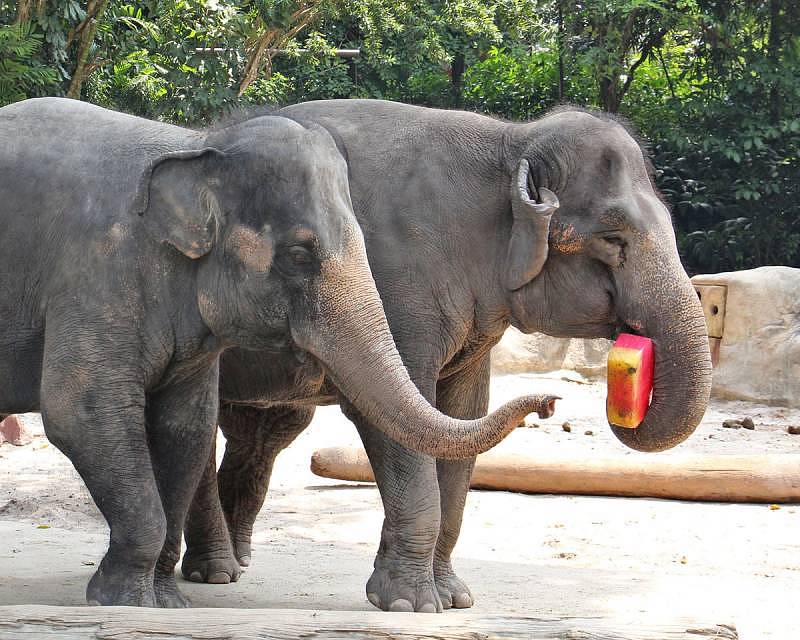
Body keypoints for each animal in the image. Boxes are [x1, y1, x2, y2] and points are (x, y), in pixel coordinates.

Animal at [0, 98, 557, 608]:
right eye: (298, 254)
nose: (550, 404)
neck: (197, 147)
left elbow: (184, 427)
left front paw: (166, 602)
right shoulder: (96, 276)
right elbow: (82, 414)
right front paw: (124, 602)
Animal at [183, 99, 713, 612]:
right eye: (612, 238)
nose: (550, 404)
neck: (509, 141)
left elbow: (462, 417)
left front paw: (455, 598)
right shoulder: (396, 288)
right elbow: (396, 418)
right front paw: (409, 603)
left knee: (265, 430)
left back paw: (234, 563)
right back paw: (213, 573)